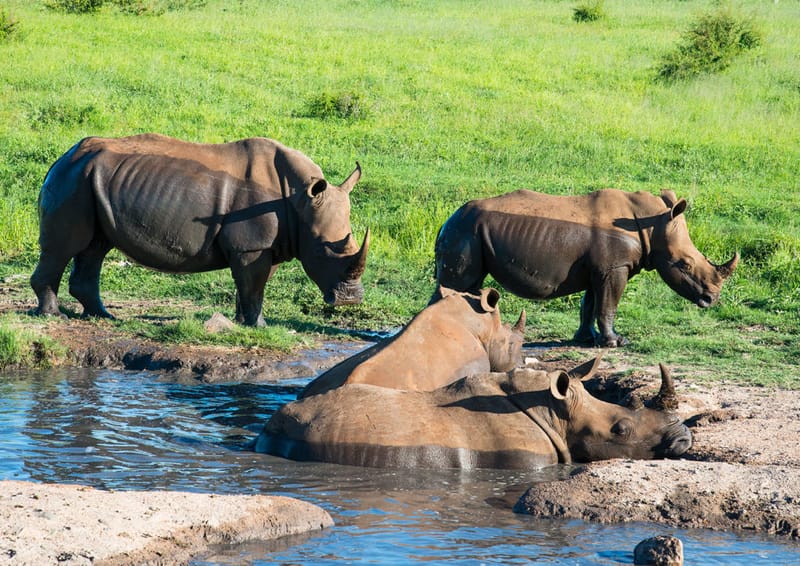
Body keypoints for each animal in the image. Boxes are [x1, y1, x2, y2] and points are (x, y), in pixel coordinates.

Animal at [30, 134, 369, 326]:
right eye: (323, 250)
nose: (350, 300)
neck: (299, 198)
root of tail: (63, 157)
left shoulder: (264, 245)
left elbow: (251, 285)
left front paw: (241, 322)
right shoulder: (252, 245)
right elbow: (254, 285)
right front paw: (260, 326)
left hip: (89, 180)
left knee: (95, 248)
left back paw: (102, 316)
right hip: (73, 181)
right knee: (63, 248)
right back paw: (54, 316)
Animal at [434, 189, 738, 346]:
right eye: (684, 265)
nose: (711, 299)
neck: (652, 224)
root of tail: (448, 219)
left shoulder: (600, 269)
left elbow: (590, 304)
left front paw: (584, 339)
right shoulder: (615, 268)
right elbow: (608, 305)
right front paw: (616, 342)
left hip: (468, 231)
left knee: (469, 289)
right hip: (466, 231)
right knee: (458, 286)